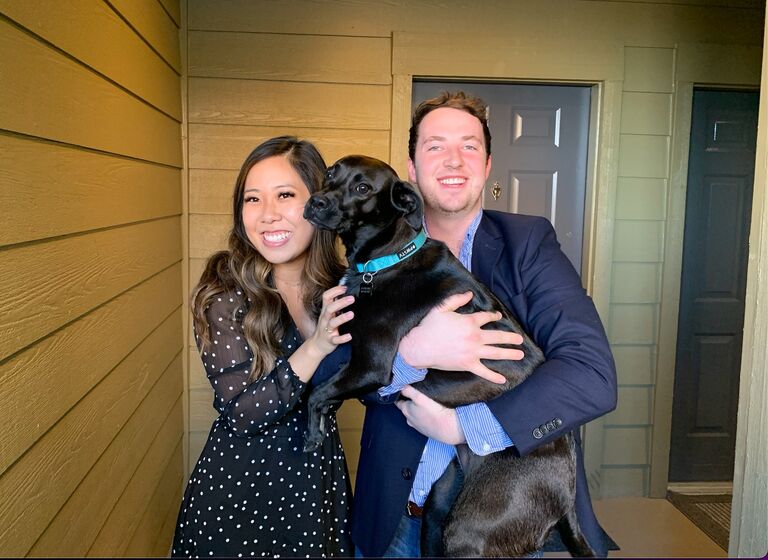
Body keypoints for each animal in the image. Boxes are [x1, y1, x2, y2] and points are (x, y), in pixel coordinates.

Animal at [302, 155, 592, 556]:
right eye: (331, 174)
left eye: (363, 188)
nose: (314, 202)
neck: (385, 261)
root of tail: (567, 499)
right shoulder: (355, 362)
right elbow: (327, 384)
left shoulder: (372, 367)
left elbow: (317, 392)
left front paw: (313, 432)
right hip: (439, 506)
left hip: (470, 528)